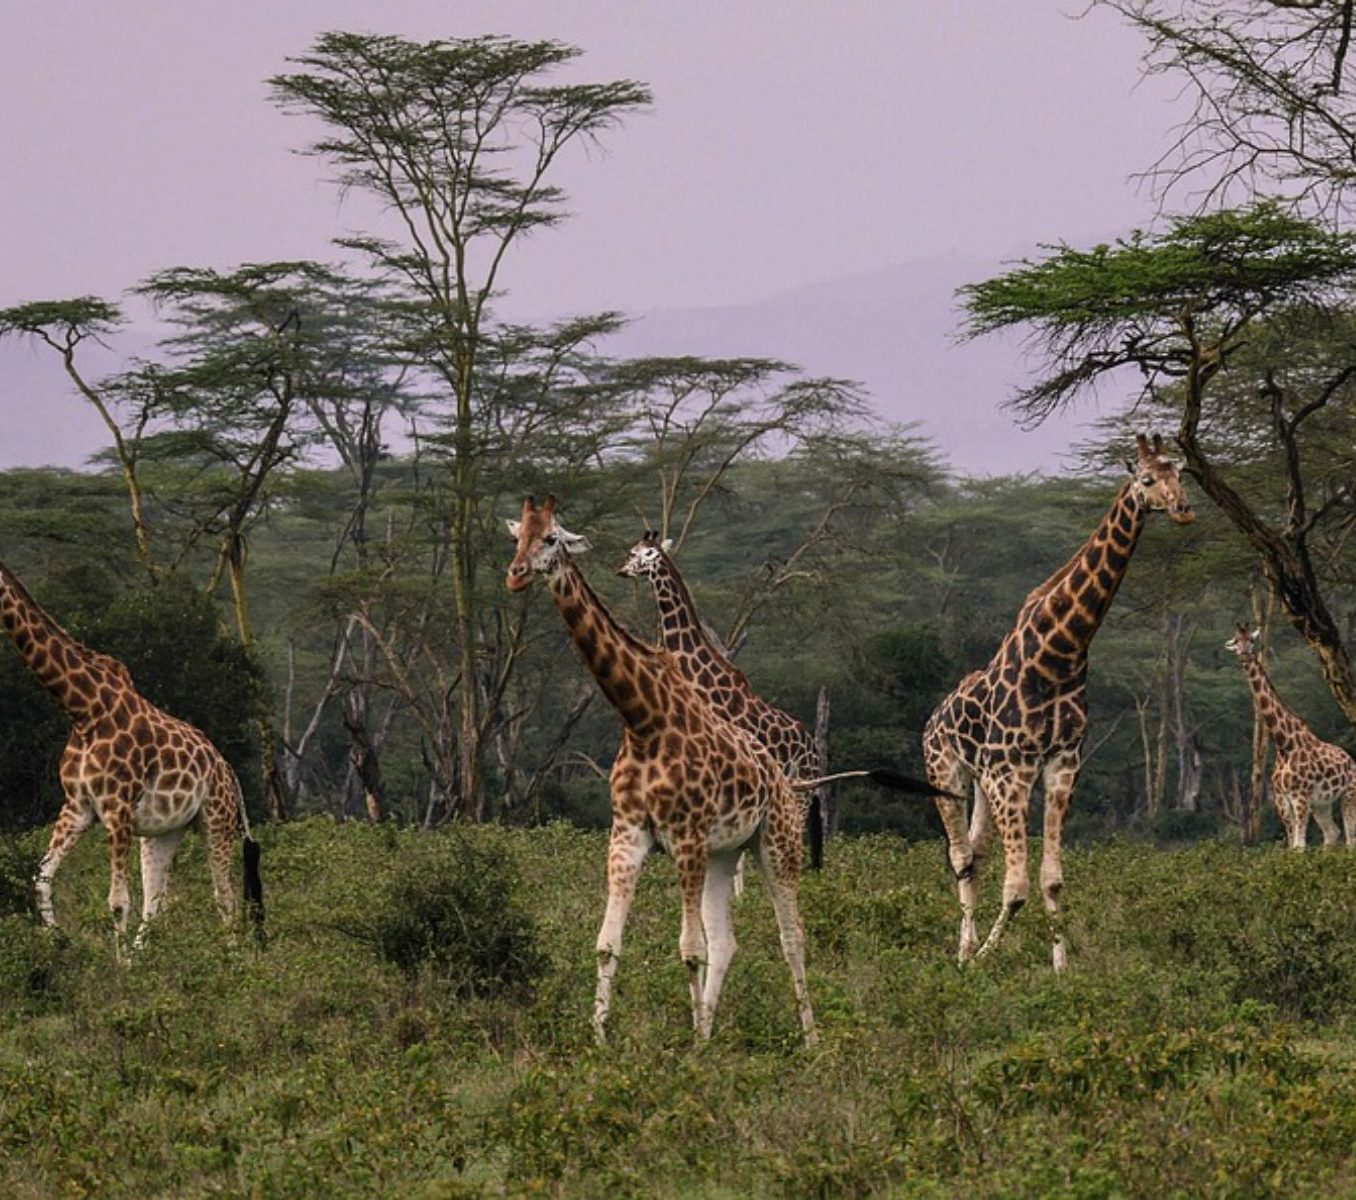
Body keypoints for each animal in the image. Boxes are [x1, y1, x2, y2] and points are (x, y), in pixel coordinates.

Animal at [0, 559, 264, 952]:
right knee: (157, 903)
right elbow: (41, 880)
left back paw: (232, 961)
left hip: (216, 819)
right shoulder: (77, 807)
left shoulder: (117, 808)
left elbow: (118, 901)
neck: (83, 710)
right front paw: (57, 943)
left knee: (225, 898)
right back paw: (148, 961)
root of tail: (229, 771)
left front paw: (118, 966)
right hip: (164, 831)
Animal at [506, 495, 817, 1044]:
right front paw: (601, 1040)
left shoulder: (686, 837)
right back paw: (709, 1034)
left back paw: (813, 1041)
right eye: (517, 536)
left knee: (791, 936)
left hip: (776, 838)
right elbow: (608, 943)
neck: (642, 719)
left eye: (552, 538)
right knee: (727, 940)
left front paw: (687, 1047)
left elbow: (689, 949)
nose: (516, 574)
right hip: (725, 850)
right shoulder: (628, 835)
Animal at [922, 434, 1195, 970]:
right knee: (960, 858)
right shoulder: (1012, 771)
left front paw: (1061, 970)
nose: (1183, 509)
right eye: (1147, 478)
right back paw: (963, 954)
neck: (1062, 654)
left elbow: (1051, 880)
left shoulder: (1061, 764)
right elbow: (1017, 886)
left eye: (1180, 471)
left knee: (976, 856)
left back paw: (967, 947)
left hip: (982, 781)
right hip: (947, 772)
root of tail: (933, 717)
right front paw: (984, 960)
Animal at [1225, 624, 1356, 849]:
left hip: (1349, 793)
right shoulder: (1282, 801)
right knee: (1332, 832)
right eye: (1236, 641)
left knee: (1350, 837)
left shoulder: (1300, 797)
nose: (1245, 654)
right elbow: (1293, 847)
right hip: (1322, 804)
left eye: (1251, 640)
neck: (1284, 743)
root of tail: (1350, 759)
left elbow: (1300, 846)